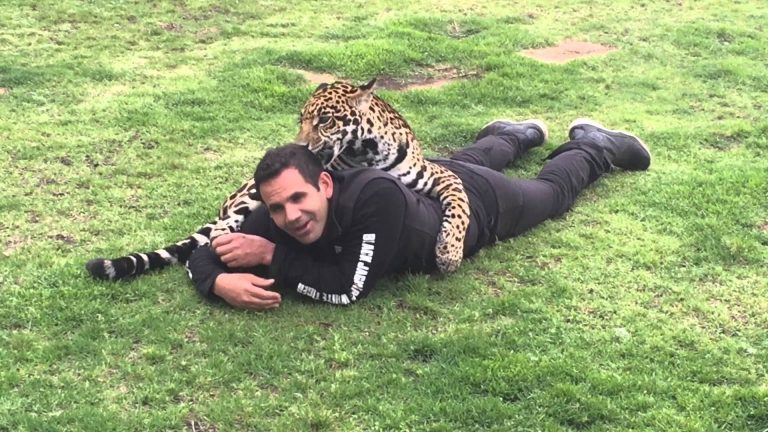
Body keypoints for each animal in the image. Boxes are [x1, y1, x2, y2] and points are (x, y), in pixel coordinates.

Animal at [86, 79, 470, 280]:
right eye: (301, 119)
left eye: (325, 120)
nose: (297, 146)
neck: (367, 151)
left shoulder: (439, 175)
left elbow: (460, 204)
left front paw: (448, 253)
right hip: (250, 193)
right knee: (222, 229)